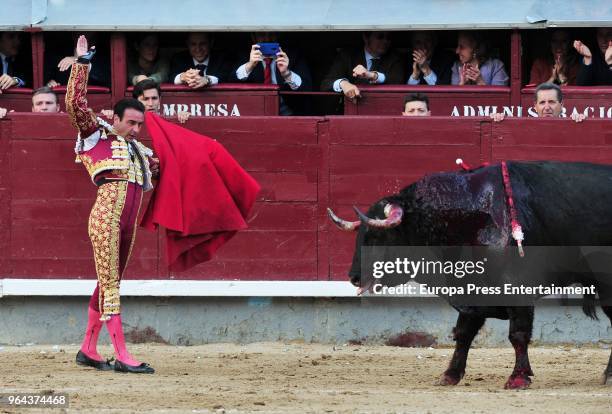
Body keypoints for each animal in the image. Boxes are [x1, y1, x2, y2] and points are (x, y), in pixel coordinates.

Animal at [328, 161, 612, 388]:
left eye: (376, 237)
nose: (353, 277)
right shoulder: (471, 292)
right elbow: (463, 334)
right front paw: (450, 375)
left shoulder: (517, 290)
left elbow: (517, 334)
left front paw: (518, 378)